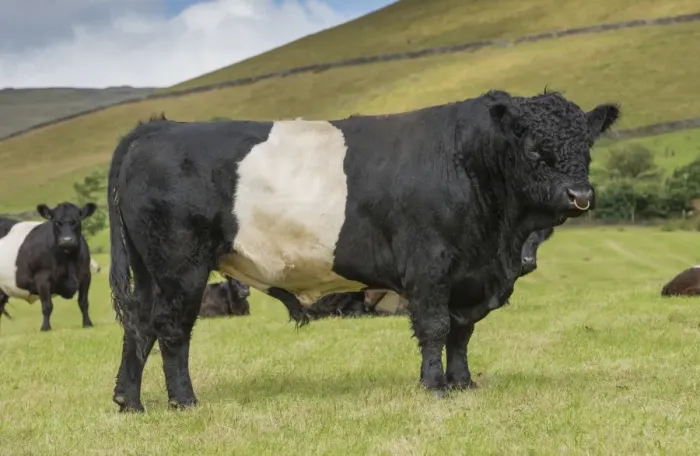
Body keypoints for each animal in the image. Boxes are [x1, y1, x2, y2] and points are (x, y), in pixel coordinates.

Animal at [0, 202, 97, 331]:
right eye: (56, 222)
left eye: (76, 221)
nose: (67, 240)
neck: (68, 261)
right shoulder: (42, 278)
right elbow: (47, 305)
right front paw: (45, 328)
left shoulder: (86, 275)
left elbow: (83, 302)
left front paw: (87, 323)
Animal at [107, 89, 619, 412]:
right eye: (535, 150)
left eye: (587, 147)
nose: (580, 195)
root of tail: (154, 130)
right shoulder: (429, 265)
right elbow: (436, 328)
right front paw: (435, 387)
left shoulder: (469, 276)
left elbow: (461, 333)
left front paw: (464, 383)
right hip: (180, 265)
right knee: (171, 328)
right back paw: (183, 401)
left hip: (150, 269)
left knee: (140, 325)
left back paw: (130, 402)